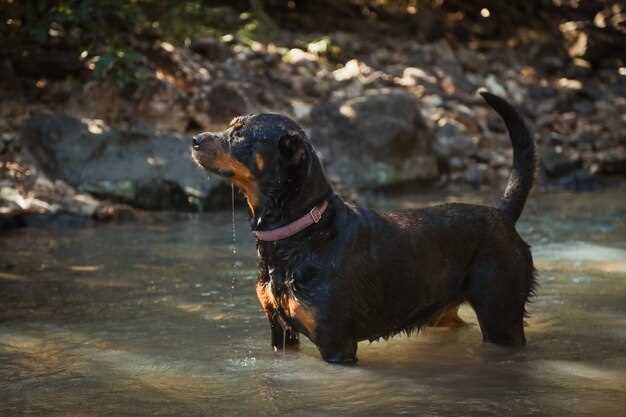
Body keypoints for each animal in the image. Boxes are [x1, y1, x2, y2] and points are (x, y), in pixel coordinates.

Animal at [189, 92, 532, 364]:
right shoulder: (281, 333)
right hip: (444, 312)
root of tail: (501, 214)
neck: (299, 234)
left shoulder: (336, 343)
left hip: (501, 316)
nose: (194, 139)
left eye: (239, 135)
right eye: (230, 126)